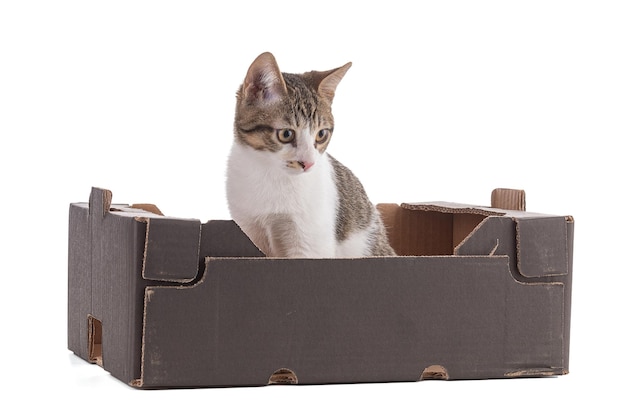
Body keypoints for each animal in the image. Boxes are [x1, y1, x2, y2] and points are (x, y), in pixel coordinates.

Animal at [225, 52, 394, 258]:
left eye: (321, 134)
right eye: (286, 134)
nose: (308, 163)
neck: (270, 173)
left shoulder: (311, 243)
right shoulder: (246, 228)